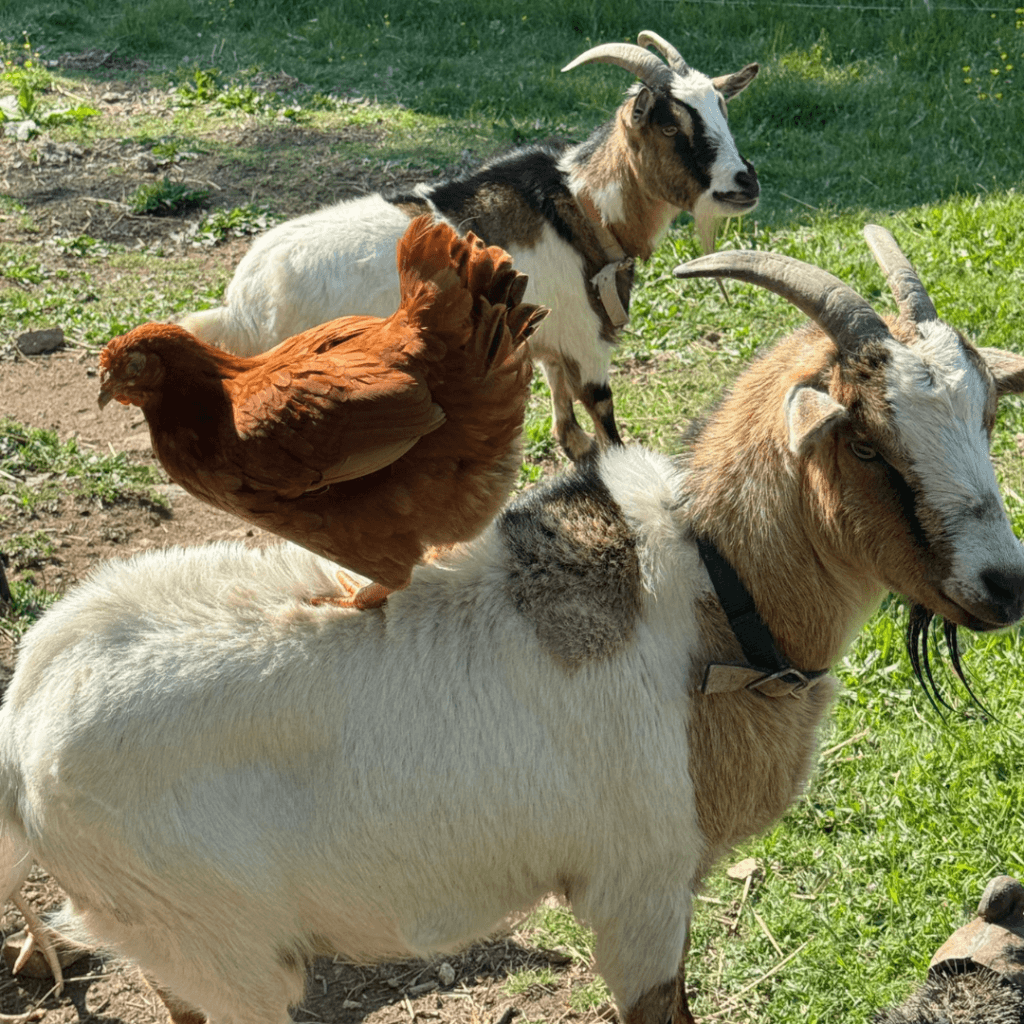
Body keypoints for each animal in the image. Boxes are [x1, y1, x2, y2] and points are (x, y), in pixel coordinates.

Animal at [3, 227, 1023, 1024]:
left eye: (985, 414)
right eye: (866, 442)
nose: (1005, 584)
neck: (707, 596)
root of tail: (23, 728)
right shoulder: (637, 892)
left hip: (175, 953)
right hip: (222, 951)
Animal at [177, 31, 760, 461]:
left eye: (722, 111)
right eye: (670, 125)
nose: (745, 182)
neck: (581, 206)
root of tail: (244, 307)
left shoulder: (550, 341)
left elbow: (570, 431)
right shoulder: (588, 341)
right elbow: (605, 422)